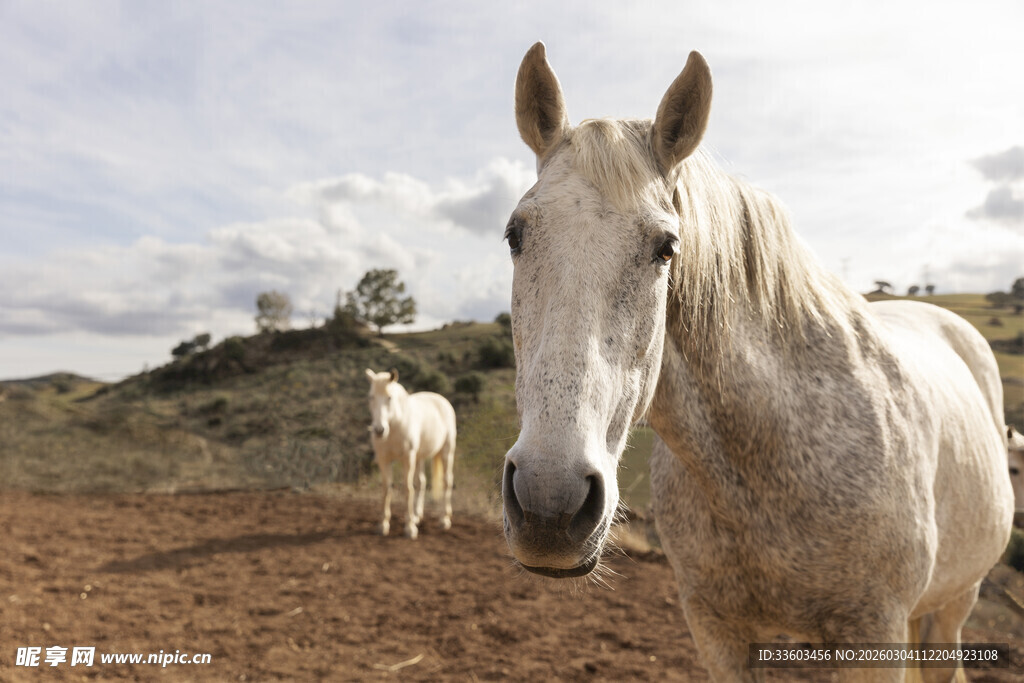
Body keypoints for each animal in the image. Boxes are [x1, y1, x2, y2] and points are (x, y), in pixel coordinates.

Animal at [364, 368, 456, 539]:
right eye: (371, 397)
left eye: (389, 397)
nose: (379, 430)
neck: (395, 425)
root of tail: (442, 400)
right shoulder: (383, 459)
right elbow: (386, 489)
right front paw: (383, 525)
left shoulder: (408, 458)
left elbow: (408, 488)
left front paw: (409, 528)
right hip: (420, 457)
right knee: (422, 482)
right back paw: (417, 516)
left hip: (447, 451)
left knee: (447, 481)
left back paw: (444, 520)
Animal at [500, 42, 1014, 682]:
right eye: (515, 235)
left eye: (666, 247)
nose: (548, 504)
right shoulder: (715, 628)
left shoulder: (876, 632)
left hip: (953, 603)